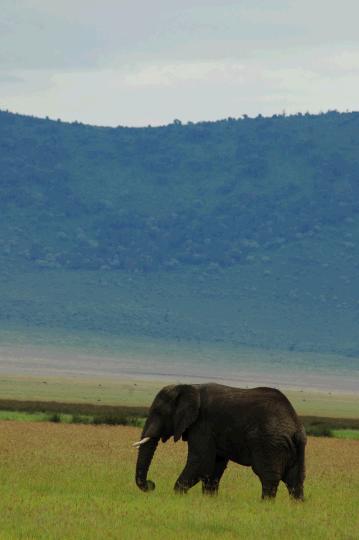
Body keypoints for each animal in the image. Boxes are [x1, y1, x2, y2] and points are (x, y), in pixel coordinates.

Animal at [134, 382, 308, 500]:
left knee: (268, 478)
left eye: (159, 412)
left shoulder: (202, 424)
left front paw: (178, 496)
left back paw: (265, 505)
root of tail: (295, 425)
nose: (151, 485)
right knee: (295, 481)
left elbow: (201, 462)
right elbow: (214, 466)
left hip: (269, 444)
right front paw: (209, 499)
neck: (189, 387)